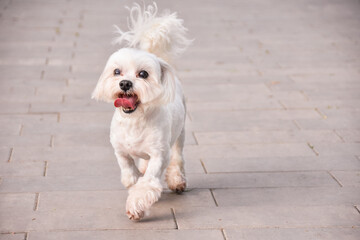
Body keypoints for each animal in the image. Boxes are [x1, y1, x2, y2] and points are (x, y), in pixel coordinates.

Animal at [92, 1, 191, 220]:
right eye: (117, 71)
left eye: (143, 74)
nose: (125, 83)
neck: (135, 120)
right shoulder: (120, 149)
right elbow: (129, 172)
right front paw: (134, 179)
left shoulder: (159, 154)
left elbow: (147, 183)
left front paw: (136, 205)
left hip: (180, 133)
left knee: (177, 157)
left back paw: (177, 180)